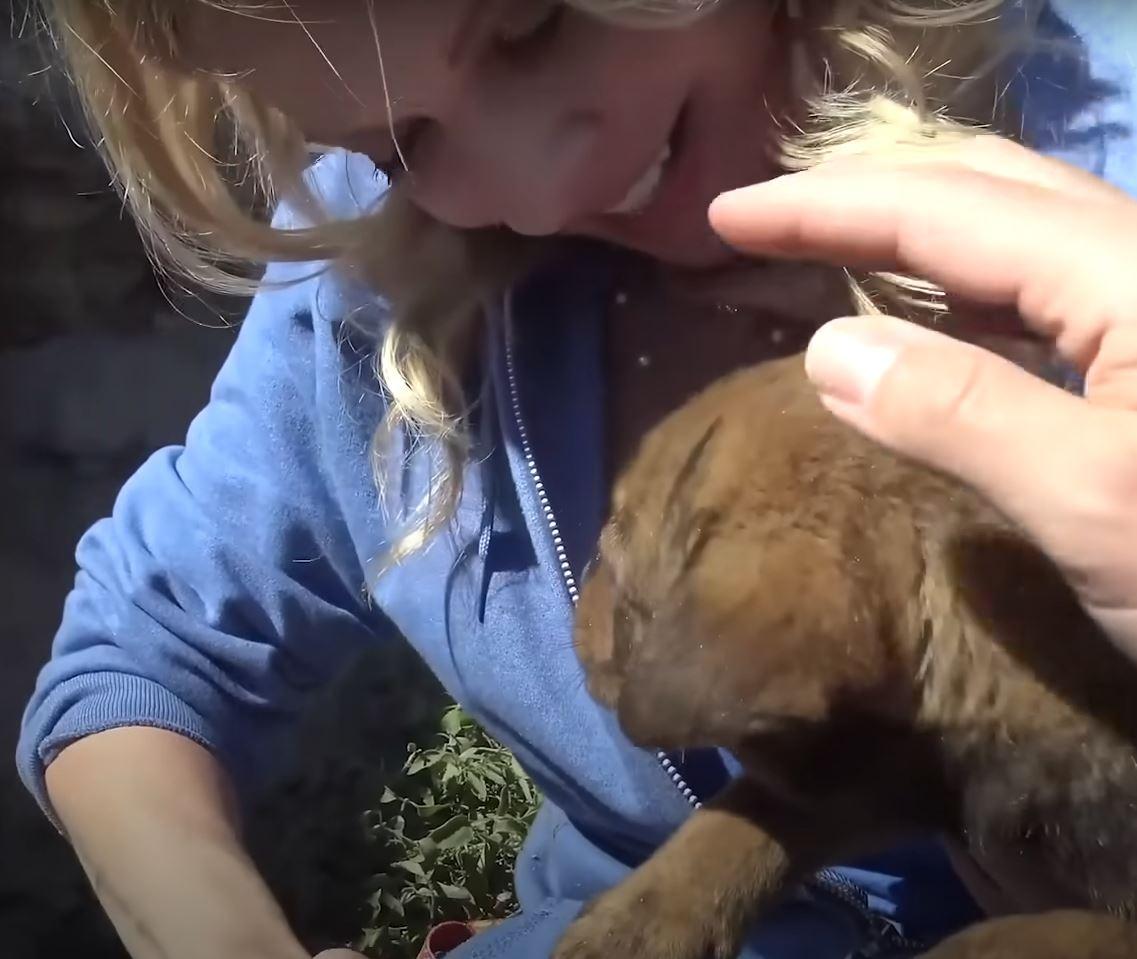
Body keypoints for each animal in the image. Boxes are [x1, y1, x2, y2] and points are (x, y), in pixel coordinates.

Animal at [554, 352, 1137, 959]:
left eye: (618, 553)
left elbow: (1046, 932)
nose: (579, 598)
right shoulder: (881, 776)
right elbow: (744, 815)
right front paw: (634, 920)